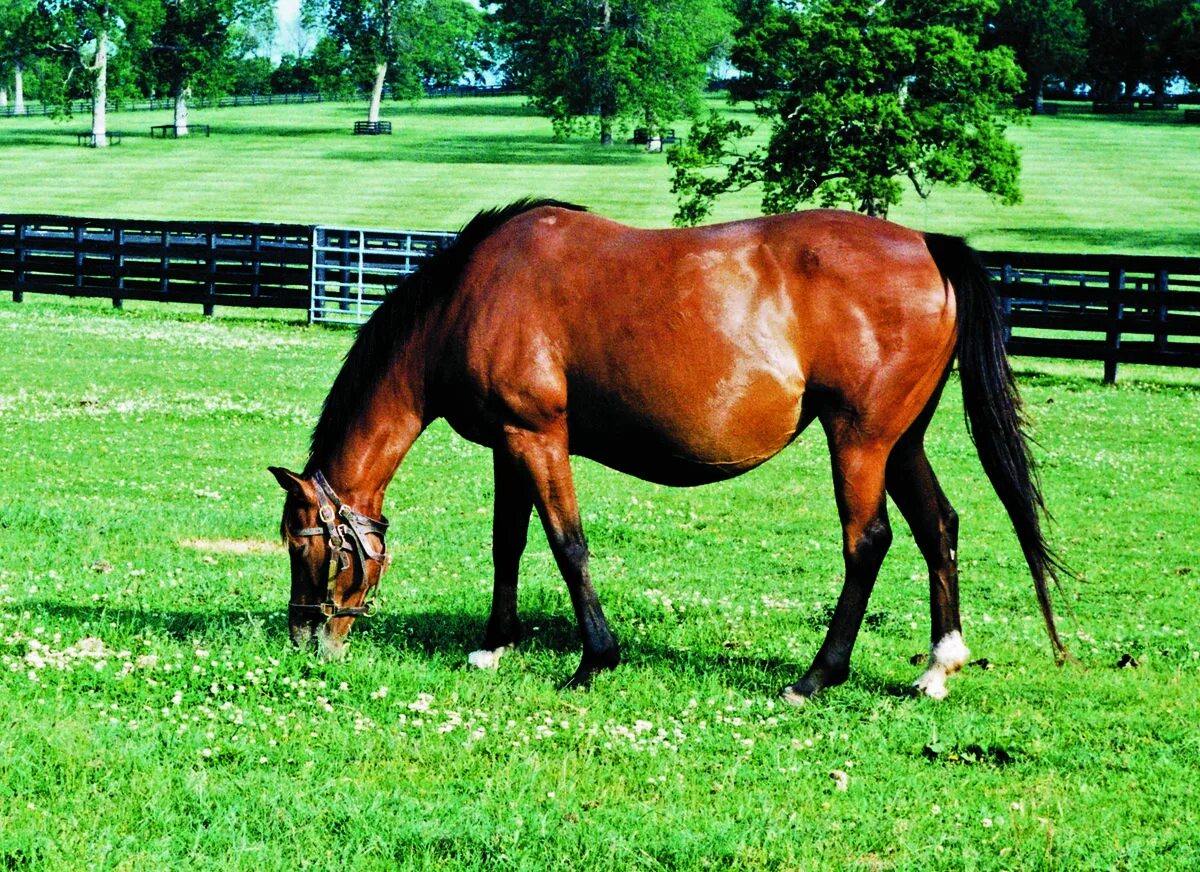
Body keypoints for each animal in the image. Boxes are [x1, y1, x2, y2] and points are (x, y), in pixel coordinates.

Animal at [267, 197, 1065, 700]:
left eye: (306, 547)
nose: (305, 638)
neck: (470, 296)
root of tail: (928, 246)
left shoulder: (539, 436)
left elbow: (568, 545)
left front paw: (593, 661)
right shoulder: (507, 445)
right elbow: (508, 544)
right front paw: (495, 645)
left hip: (860, 439)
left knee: (868, 543)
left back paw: (815, 678)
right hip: (902, 440)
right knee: (939, 526)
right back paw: (937, 667)